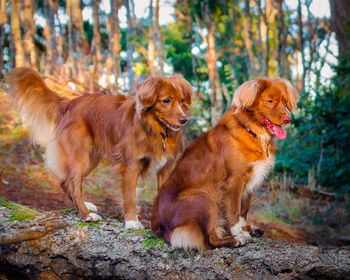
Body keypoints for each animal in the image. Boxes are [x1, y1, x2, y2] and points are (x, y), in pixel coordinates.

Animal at [8, 68, 193, 230]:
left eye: (182, 101)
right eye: (166, 100)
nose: (184, 120)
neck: (155, 130)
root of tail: (69, 103)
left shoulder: (165, 167)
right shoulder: (130, 165)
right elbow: (130, 197)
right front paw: (132, 222)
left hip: (92, 159)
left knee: (65, 181)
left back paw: (85, 206)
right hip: (80, 156)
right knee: (75, 184)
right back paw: (86, 214)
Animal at [151, 77, 298, 249]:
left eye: (285, 101)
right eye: (270, 101)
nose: (288, 119)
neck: (251, 130)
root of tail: (159, 228)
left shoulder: (251, 182)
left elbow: (243, 210)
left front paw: (245, 229)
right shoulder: (234, 181)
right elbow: (234, 211)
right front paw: (240, 233)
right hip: (203, 198)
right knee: (210, 240)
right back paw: (235, 240)